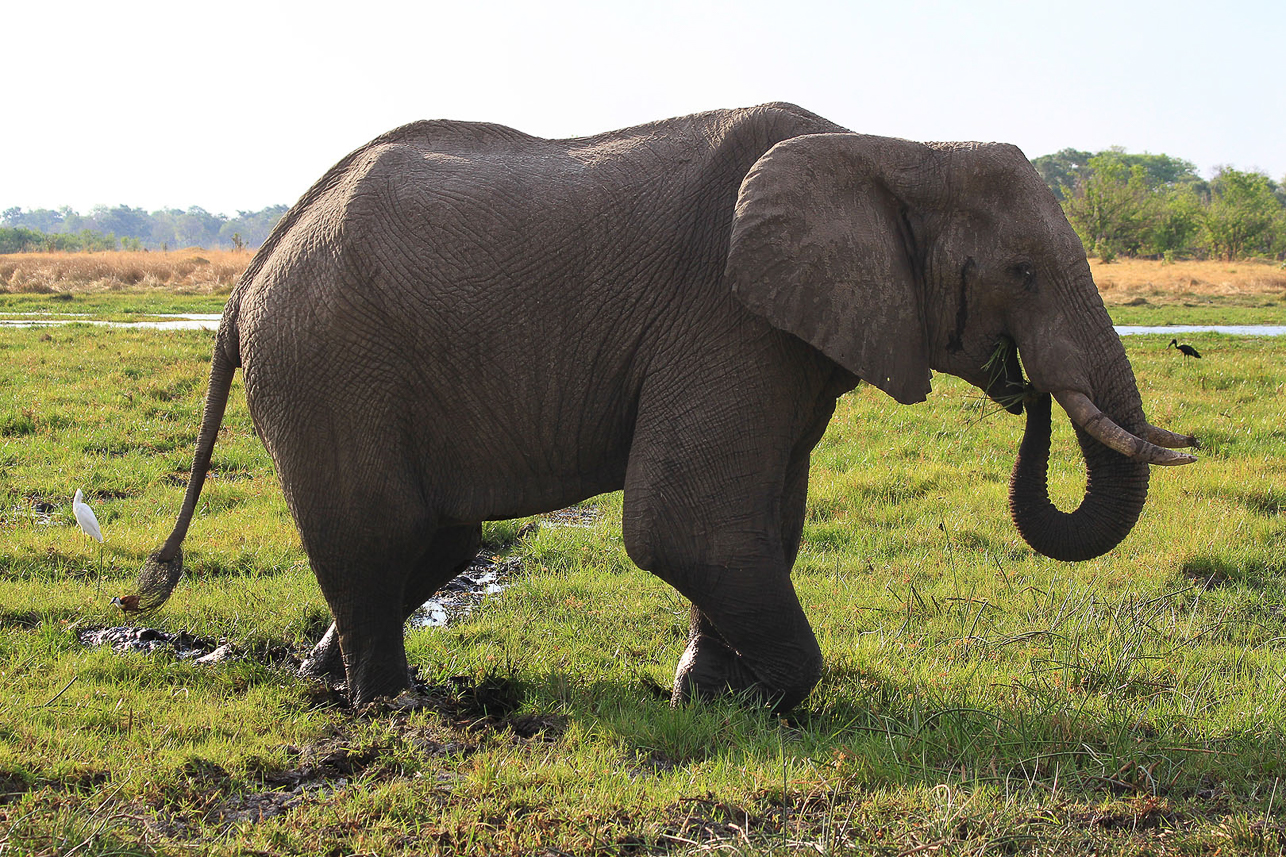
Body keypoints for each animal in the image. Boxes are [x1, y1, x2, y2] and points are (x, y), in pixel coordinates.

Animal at [130, 103, 1193, 710]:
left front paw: (710, 695)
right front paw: (772, 700)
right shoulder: (725, 313)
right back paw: (396, 708)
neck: (894, 147)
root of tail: (250, 273)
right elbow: (687, 523)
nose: (1025, 386)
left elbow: (764, 521)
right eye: (1021, 272)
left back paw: (322, 678)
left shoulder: (782, 338)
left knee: (436, 537)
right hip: (329, 363)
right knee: (382, 529)